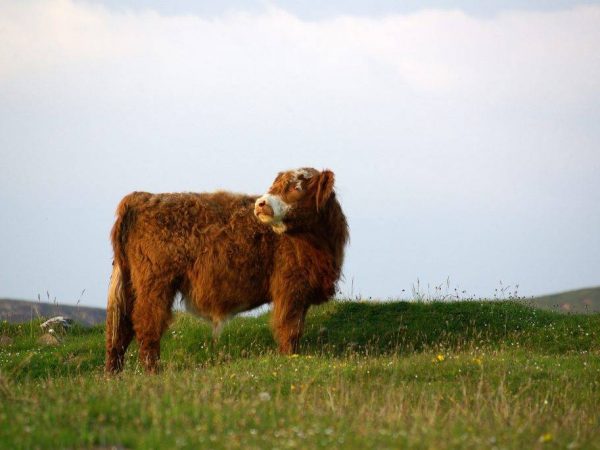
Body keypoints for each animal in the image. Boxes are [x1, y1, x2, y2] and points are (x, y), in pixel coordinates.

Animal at [105, 168, 350, 372]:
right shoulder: (291, 289)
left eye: (296, 187)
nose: (260, 203)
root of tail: (142, 196)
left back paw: (113, 375)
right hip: (155, 284)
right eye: (275, 185)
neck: (323, 245)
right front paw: (289, 360)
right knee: (145, 325)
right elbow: (290, 329)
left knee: (119, 330)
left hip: (130, 285)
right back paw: (153, 372)